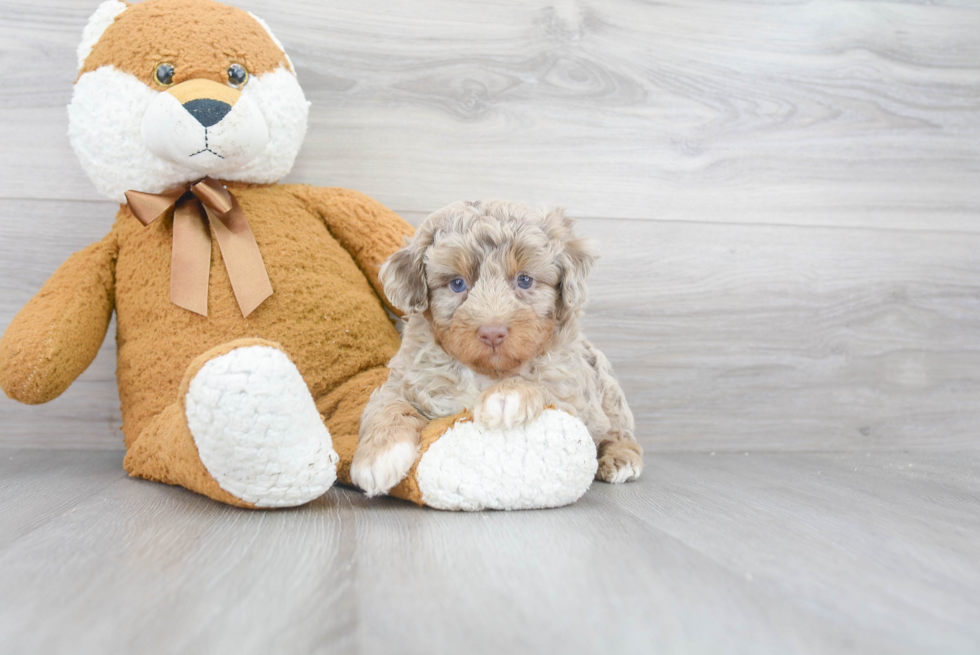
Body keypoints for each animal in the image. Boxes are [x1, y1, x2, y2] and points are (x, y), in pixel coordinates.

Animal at [352, 200, 644, 498]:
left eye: (525, 280)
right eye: (457, 284)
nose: (492, 332)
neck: (487, 373)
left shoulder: (570, 392)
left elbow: (540, 384)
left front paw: (506, 396)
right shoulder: (406, 380)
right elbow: (388, 405)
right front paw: (378, 457)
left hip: (606, 389)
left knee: (618, 432)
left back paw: (621, 459)